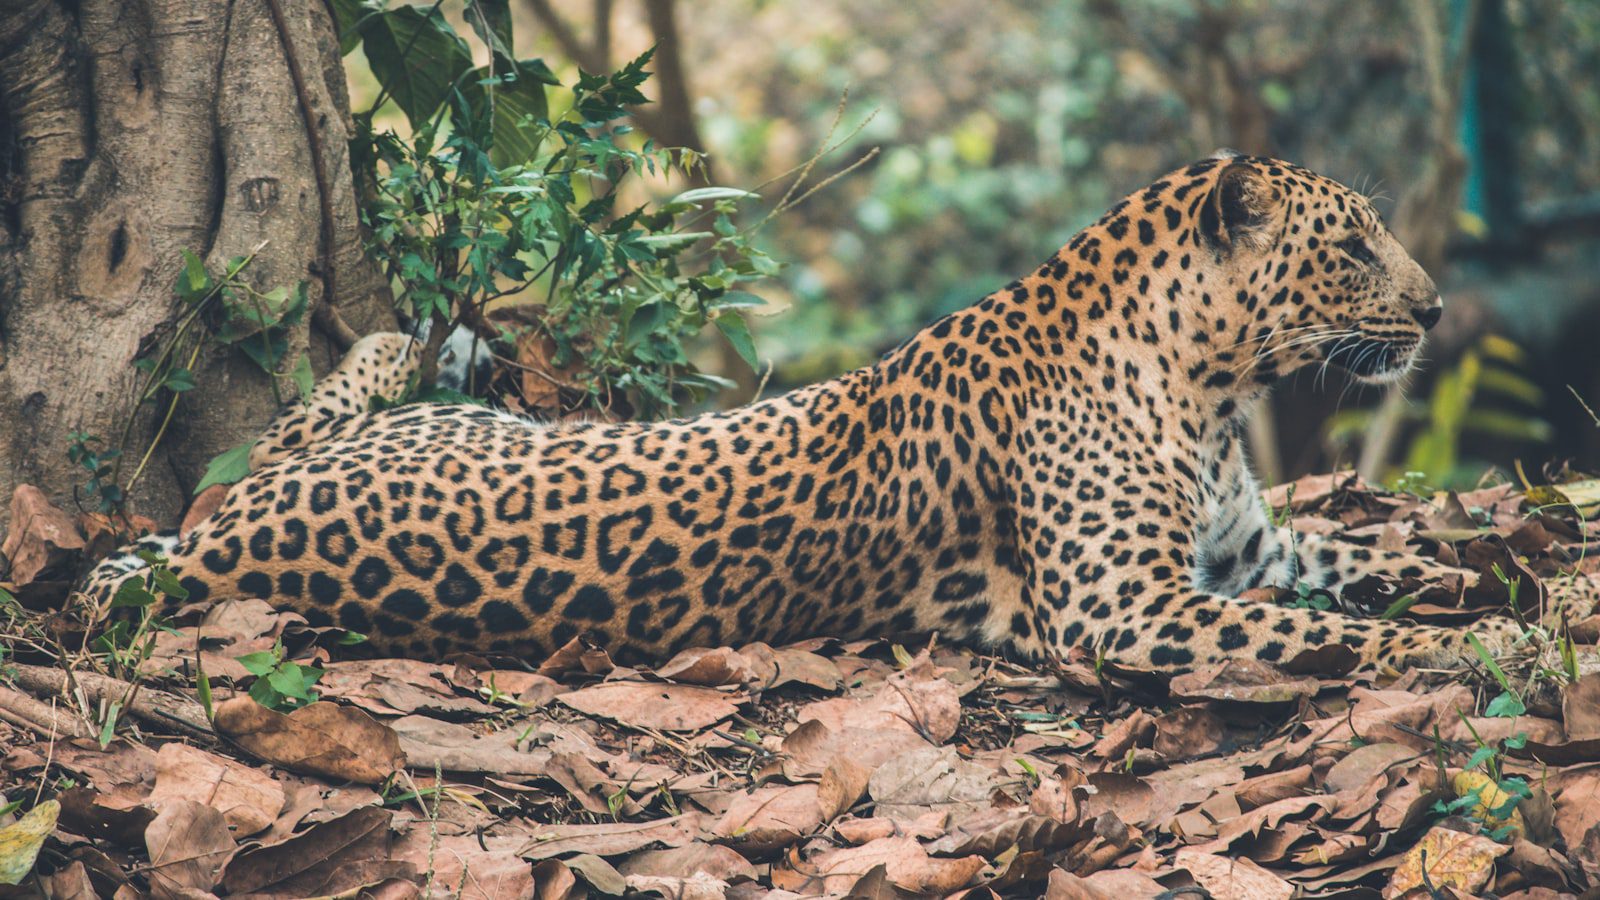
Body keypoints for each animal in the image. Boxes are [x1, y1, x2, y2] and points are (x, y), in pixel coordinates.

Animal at [78, 153, 1523, 669]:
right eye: (1352, 246)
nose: (1438, 306)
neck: (1213, 391)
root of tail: (223, 550)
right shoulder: (1125, 607)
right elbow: (1303, 629)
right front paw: (1442, 654)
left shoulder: (1246, 544)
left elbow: (1350, 552)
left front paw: (1478, 573)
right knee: (273, 437)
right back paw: (405, 336)